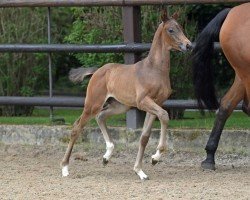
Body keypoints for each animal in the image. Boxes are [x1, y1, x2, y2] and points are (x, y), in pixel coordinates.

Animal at [62, 11, 191, 180]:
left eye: (181, 27)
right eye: (171, 30)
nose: (188, 45)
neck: (154, 70)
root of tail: (97, 71)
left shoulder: (156, 103)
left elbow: (144, 136)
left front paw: (140, 170)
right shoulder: (143, 102)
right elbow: (164, 115)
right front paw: (155, 158)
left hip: (120, 106)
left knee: (101, 117)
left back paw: (107, 156)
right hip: (93, 104)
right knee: (77, 127)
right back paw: (65, 168)